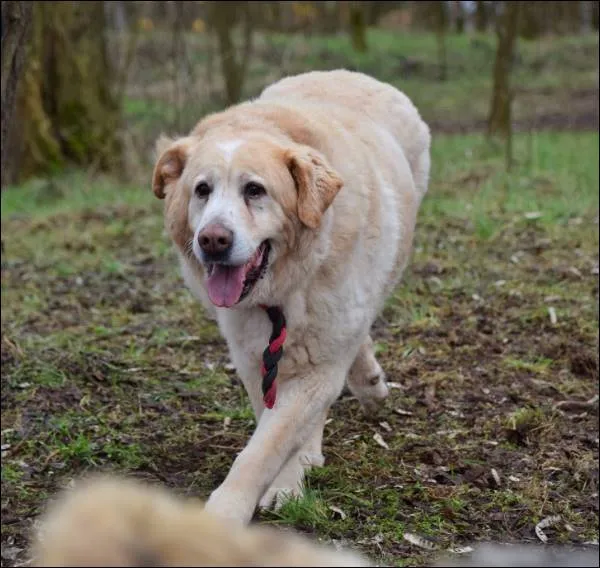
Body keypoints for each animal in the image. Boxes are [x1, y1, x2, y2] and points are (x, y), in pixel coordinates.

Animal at [150, 70, 432, 524]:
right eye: (202, 190)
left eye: (254, 190)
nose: (212, 240)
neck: (284, 287)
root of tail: (347, 73)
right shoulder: (255, 359)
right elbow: (275, 429)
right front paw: (292, 474)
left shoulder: (318, 366)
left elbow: (265, 447)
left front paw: (237, 508)